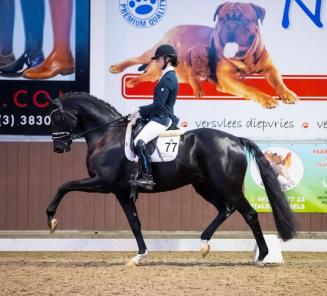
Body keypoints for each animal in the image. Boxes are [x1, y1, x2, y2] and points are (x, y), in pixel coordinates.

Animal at [46, 92, 298, 266]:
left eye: (56, 117)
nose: (58, 148)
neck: (106, 136)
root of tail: (235, 139)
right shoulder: (121, 191)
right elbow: (135, 223)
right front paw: (139, 256)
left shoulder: (102, 182)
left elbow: (64, 186)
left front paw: (51, 220)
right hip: (204, 186)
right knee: (225, 209)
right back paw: (204, 244)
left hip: (228, 187)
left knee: (249, 214)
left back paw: (262, 257)